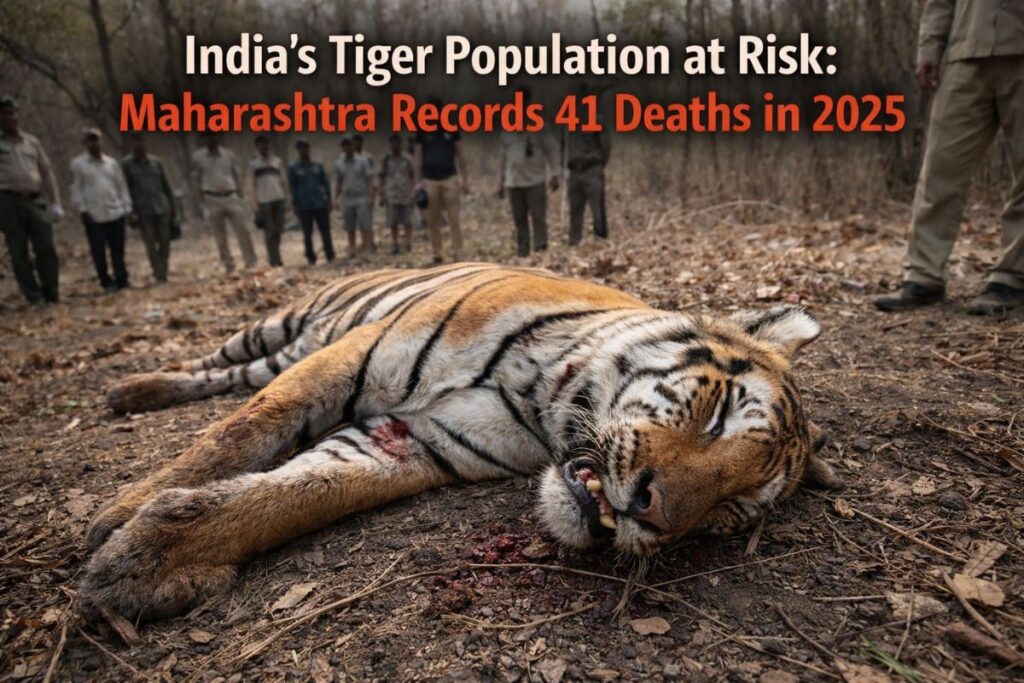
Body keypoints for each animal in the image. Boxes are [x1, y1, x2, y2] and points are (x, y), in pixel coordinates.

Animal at [81, 262, 841, 621]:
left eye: (729, 512)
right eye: (717, 413)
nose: (653, 512)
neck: (543, 397)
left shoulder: (411, 440)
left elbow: (296, 495)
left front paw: (152, 560)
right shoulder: (354, 357)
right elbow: (244, 429)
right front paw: (120, 518)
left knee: (238, 377)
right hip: (281, 323)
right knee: (221, 367)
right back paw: (128, 389)